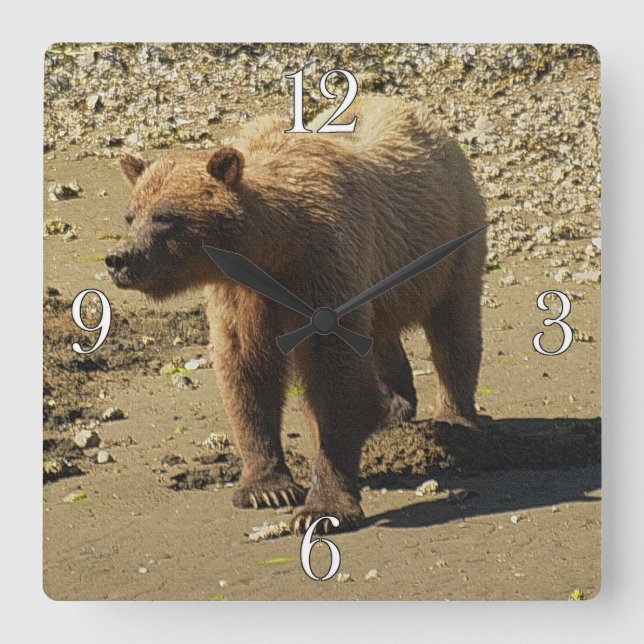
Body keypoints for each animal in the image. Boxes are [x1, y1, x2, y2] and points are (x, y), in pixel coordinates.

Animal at [106, 96, 486, 534]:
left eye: (166, 216)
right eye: (131, 214)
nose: (119, 259)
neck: (273, 250)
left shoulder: (321, 267)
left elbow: (332, 374)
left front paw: (323, 507)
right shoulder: (243, 296)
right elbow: (246, 369)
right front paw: (266, 487)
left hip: (452, 238)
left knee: (453, 327)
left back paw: (455, 420)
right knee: (381, 330)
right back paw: (393, 405)